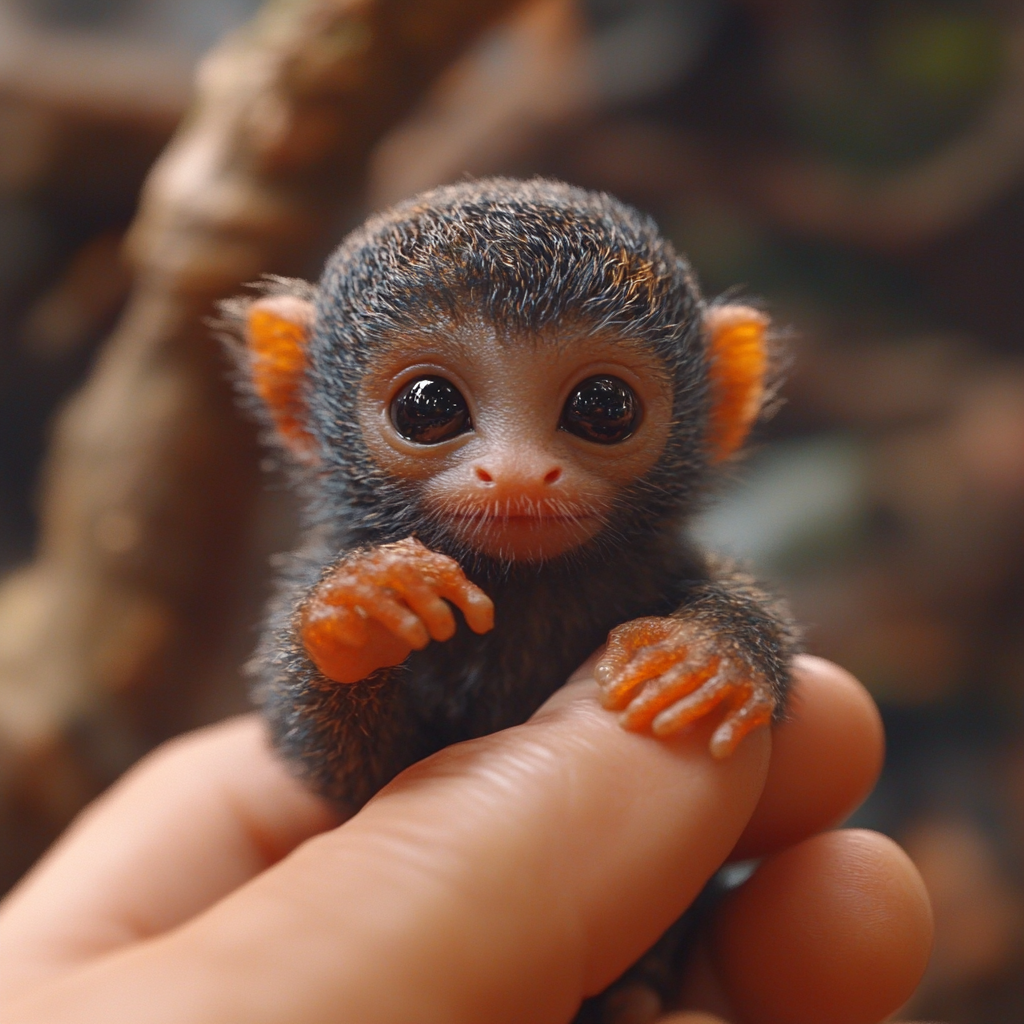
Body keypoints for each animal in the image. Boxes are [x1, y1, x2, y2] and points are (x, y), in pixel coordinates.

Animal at [234, 178, 798, 815]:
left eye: (604, 406)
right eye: (427, 406)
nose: (518, 474)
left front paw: (708, 653)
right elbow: (355, 778)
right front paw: (362, 603)